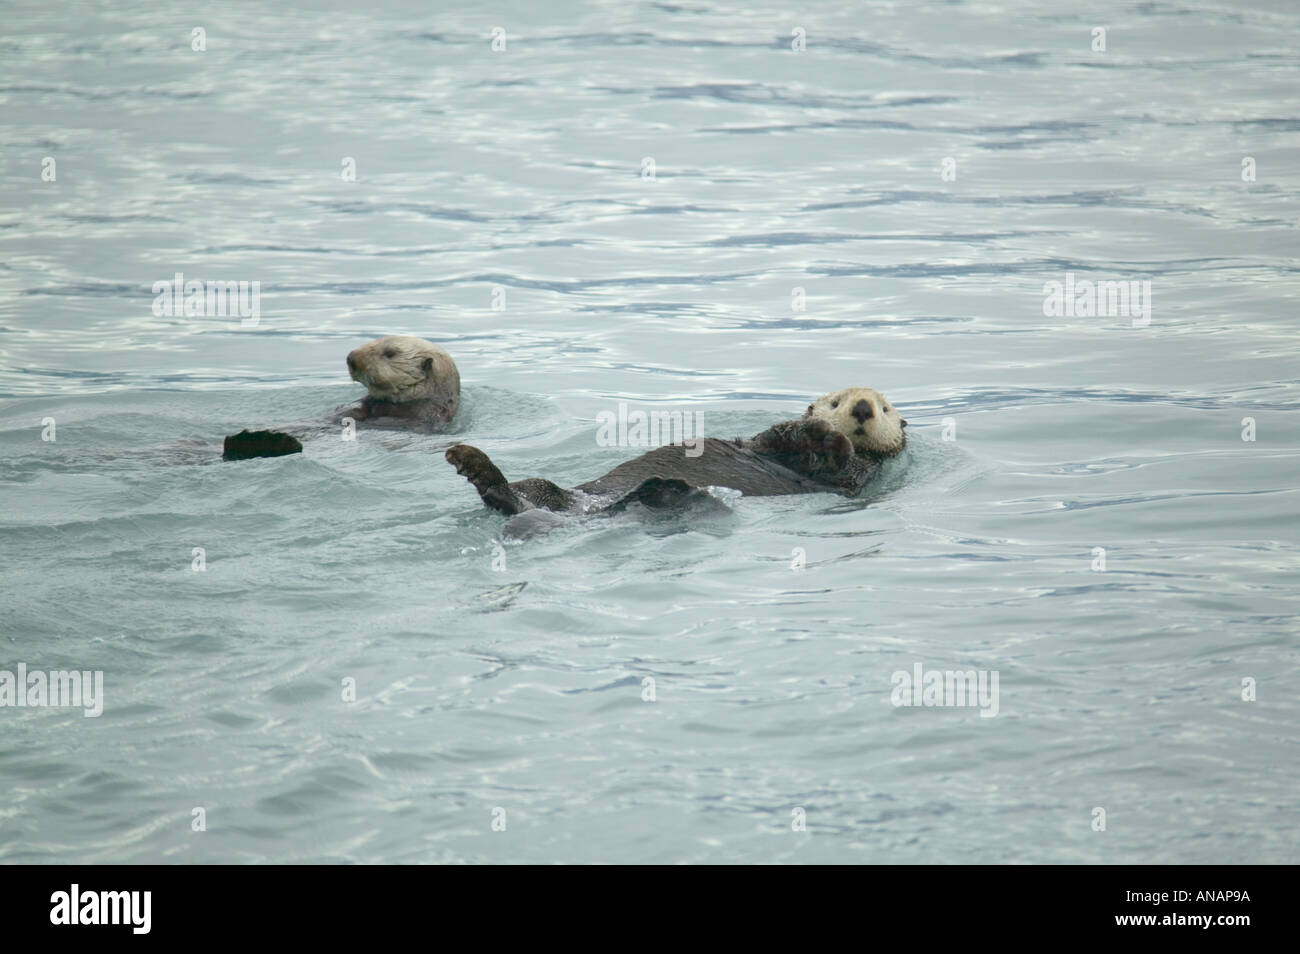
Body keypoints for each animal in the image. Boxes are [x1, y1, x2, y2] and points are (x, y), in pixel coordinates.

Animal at [444, 389, 904, 522]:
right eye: (836, 402)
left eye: (884, 408)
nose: (862, 408)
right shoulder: (769, 443)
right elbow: (780, 435)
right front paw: (822, 432)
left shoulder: (851, 478)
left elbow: (839, 466)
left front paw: (834, 442)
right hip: (549, 492)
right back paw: (471, 463)